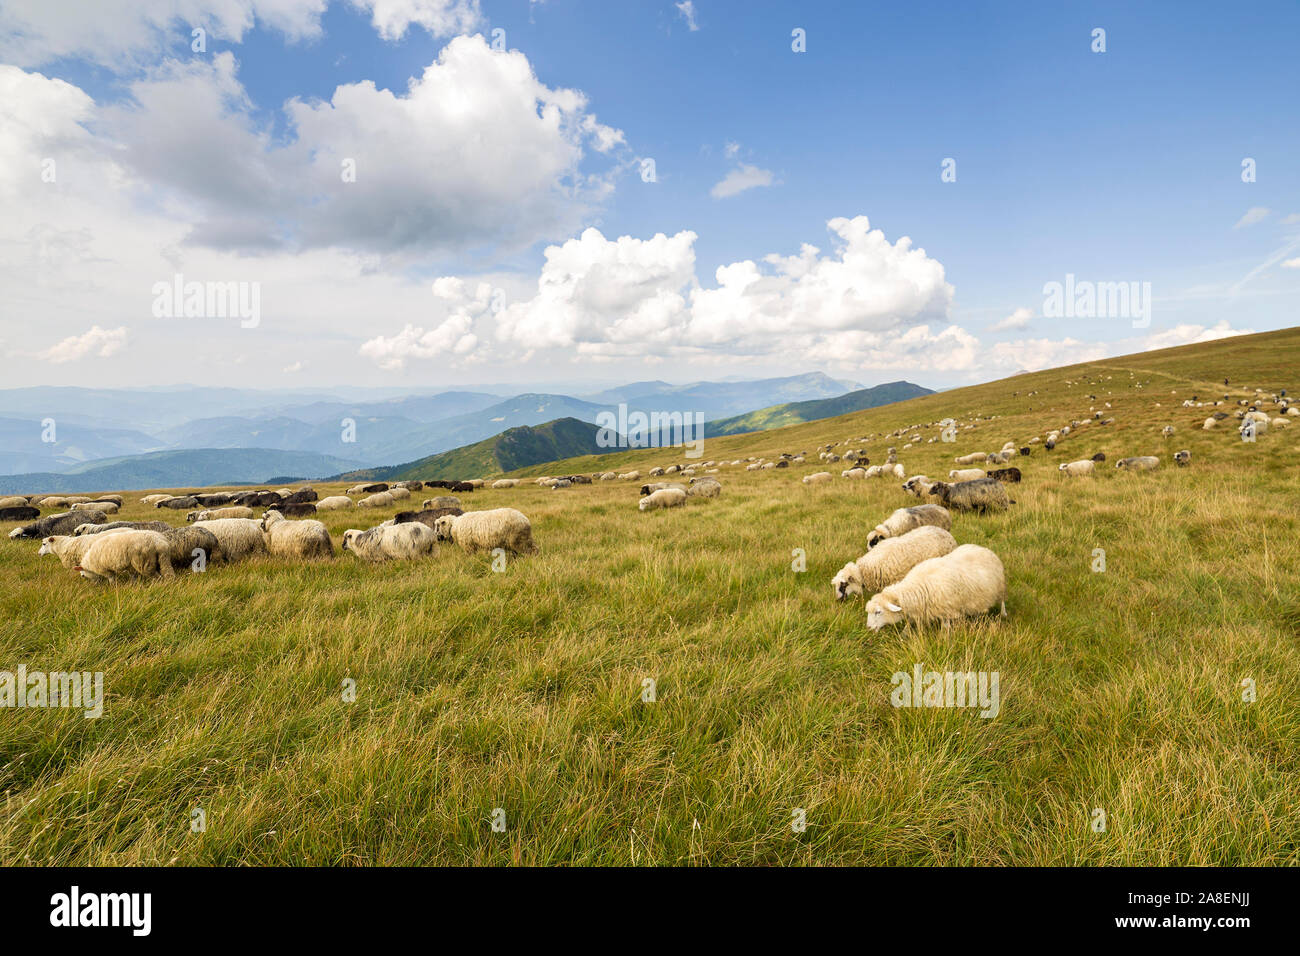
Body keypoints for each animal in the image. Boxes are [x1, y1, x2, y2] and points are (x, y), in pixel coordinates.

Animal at [865, 545, 1007, 630]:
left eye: (878, 612)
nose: (868, 628)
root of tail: (983, 548)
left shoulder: (947, 609)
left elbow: (945, 628)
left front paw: (944, 640)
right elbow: (909, 623)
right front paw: (904, 635)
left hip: (1000, 586)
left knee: (1002, 601)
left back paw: (1004, 614)